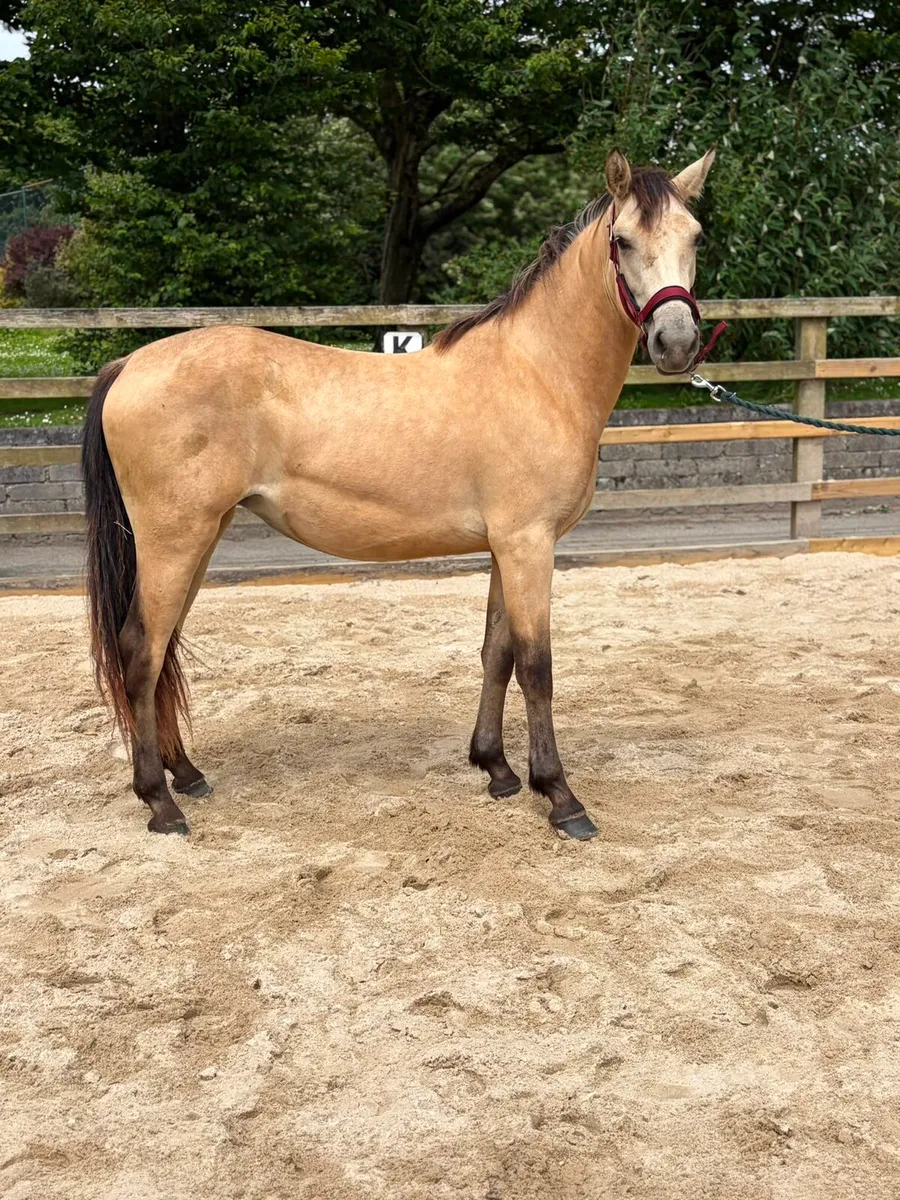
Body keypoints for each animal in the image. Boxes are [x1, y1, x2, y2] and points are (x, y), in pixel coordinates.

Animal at [81, 147, 717, 842]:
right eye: (622, 240)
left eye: (695, 236)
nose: (677, 343)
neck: (537, 373)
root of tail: (130, 364)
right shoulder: (529, 545)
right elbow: (536, 666)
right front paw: (560, 797)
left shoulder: (505, 548)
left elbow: (496, 653)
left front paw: (495, 769)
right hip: (173, 540)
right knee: (142, 651)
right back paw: (160, 803)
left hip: (201, 538)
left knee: (163, 649)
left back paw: (187, 775)